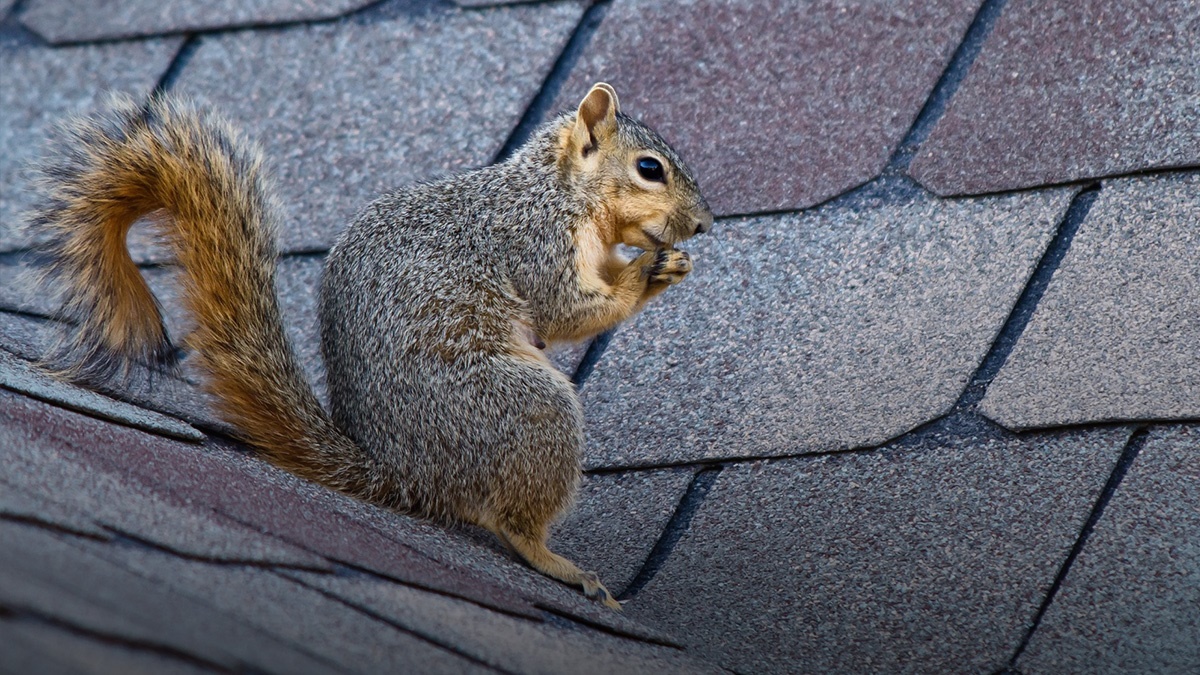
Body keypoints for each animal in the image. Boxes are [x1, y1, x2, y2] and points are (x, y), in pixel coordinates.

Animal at [30, 81, 710, 607]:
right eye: (650, 168)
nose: (704, 224)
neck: (559, 190)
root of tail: (404, 476)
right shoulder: (532, 242)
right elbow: (566, 309)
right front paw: (646, 275)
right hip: (524, 406)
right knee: (512, 520)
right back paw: (557, 562)